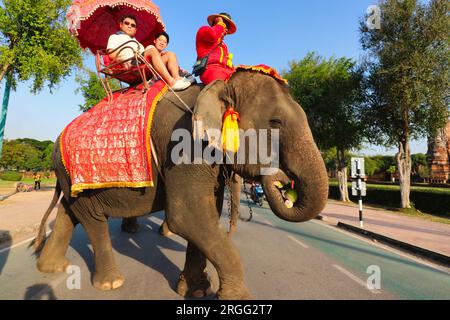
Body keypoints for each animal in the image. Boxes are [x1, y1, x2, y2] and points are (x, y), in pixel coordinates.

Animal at [32, 69, 326, 298]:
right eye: (275, 122)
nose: (283, 182)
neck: (219, 86)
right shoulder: (185, 144)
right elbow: (188, 216)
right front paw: (238, 298)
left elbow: (207, 215)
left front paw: (196, 290)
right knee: (92, 219)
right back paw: (110, 283)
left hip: (69, 180)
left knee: (70, 213)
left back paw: (50, 268)